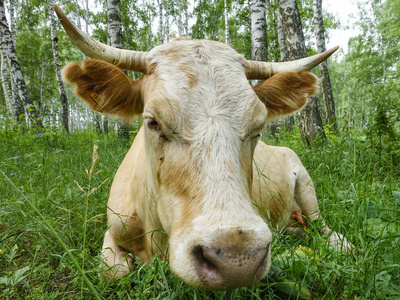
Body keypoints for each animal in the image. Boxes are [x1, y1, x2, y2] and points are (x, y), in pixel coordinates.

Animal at [54, 5, 352, 290]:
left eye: (258, 127)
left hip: (306, 183)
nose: (237, 258)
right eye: (153, 122)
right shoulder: (113, 229)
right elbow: (113, 273)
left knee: (322, 226)